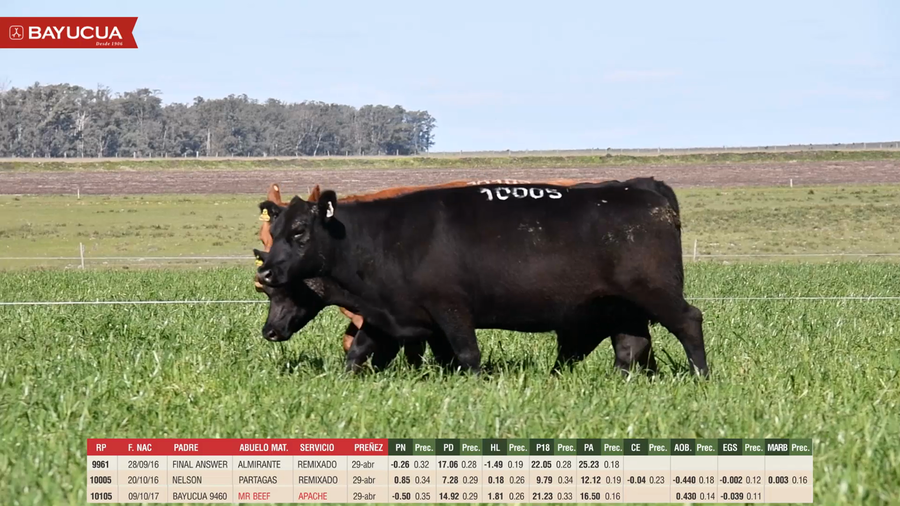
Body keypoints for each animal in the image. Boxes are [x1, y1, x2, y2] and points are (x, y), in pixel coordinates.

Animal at [256, 178, 708, 376]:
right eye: (274, 231)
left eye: (300, 232)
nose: (267, 271)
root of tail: (639, 188)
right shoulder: (389, 314)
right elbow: (358, 352)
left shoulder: (451, 308)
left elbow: (467, 354)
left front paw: (472, 385)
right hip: (621, 308)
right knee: (631, 346)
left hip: (655, 292)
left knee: (689, 321)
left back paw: (700, 377)